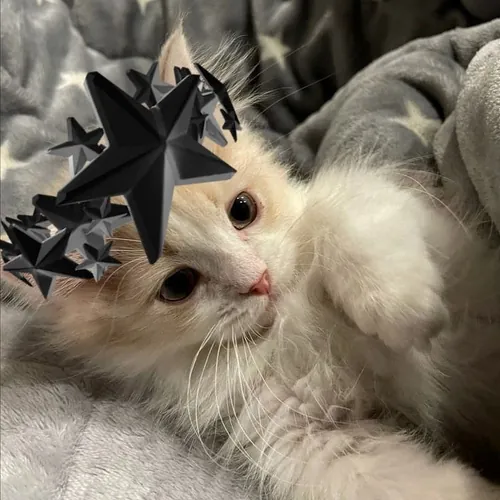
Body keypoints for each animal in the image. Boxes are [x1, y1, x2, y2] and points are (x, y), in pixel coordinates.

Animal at [3, 27, 500, 500]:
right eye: (178, 285)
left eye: (242, 210)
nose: (259, 280)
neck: (290, 320)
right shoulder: (304, 440)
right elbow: (396, 480)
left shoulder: (426, 221)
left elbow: (337, 210)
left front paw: (399, 308)